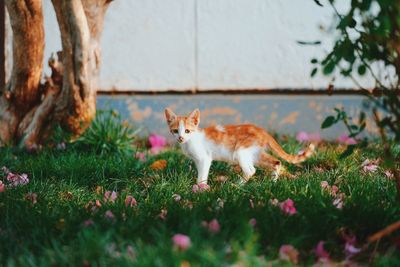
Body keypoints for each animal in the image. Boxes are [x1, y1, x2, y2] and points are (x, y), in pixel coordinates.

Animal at [164, 108, 314, 185]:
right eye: (175, 131)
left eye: (187, 131)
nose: (180, 138)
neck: (191, 141)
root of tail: (262, 130)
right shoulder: (197, 160)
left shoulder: (204, 158)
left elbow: (202, 174)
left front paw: (201, 188)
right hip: (255, 154)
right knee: (276, 162)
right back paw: (273, 182)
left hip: (241, 151)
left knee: (251, 171)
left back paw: (237, 185)